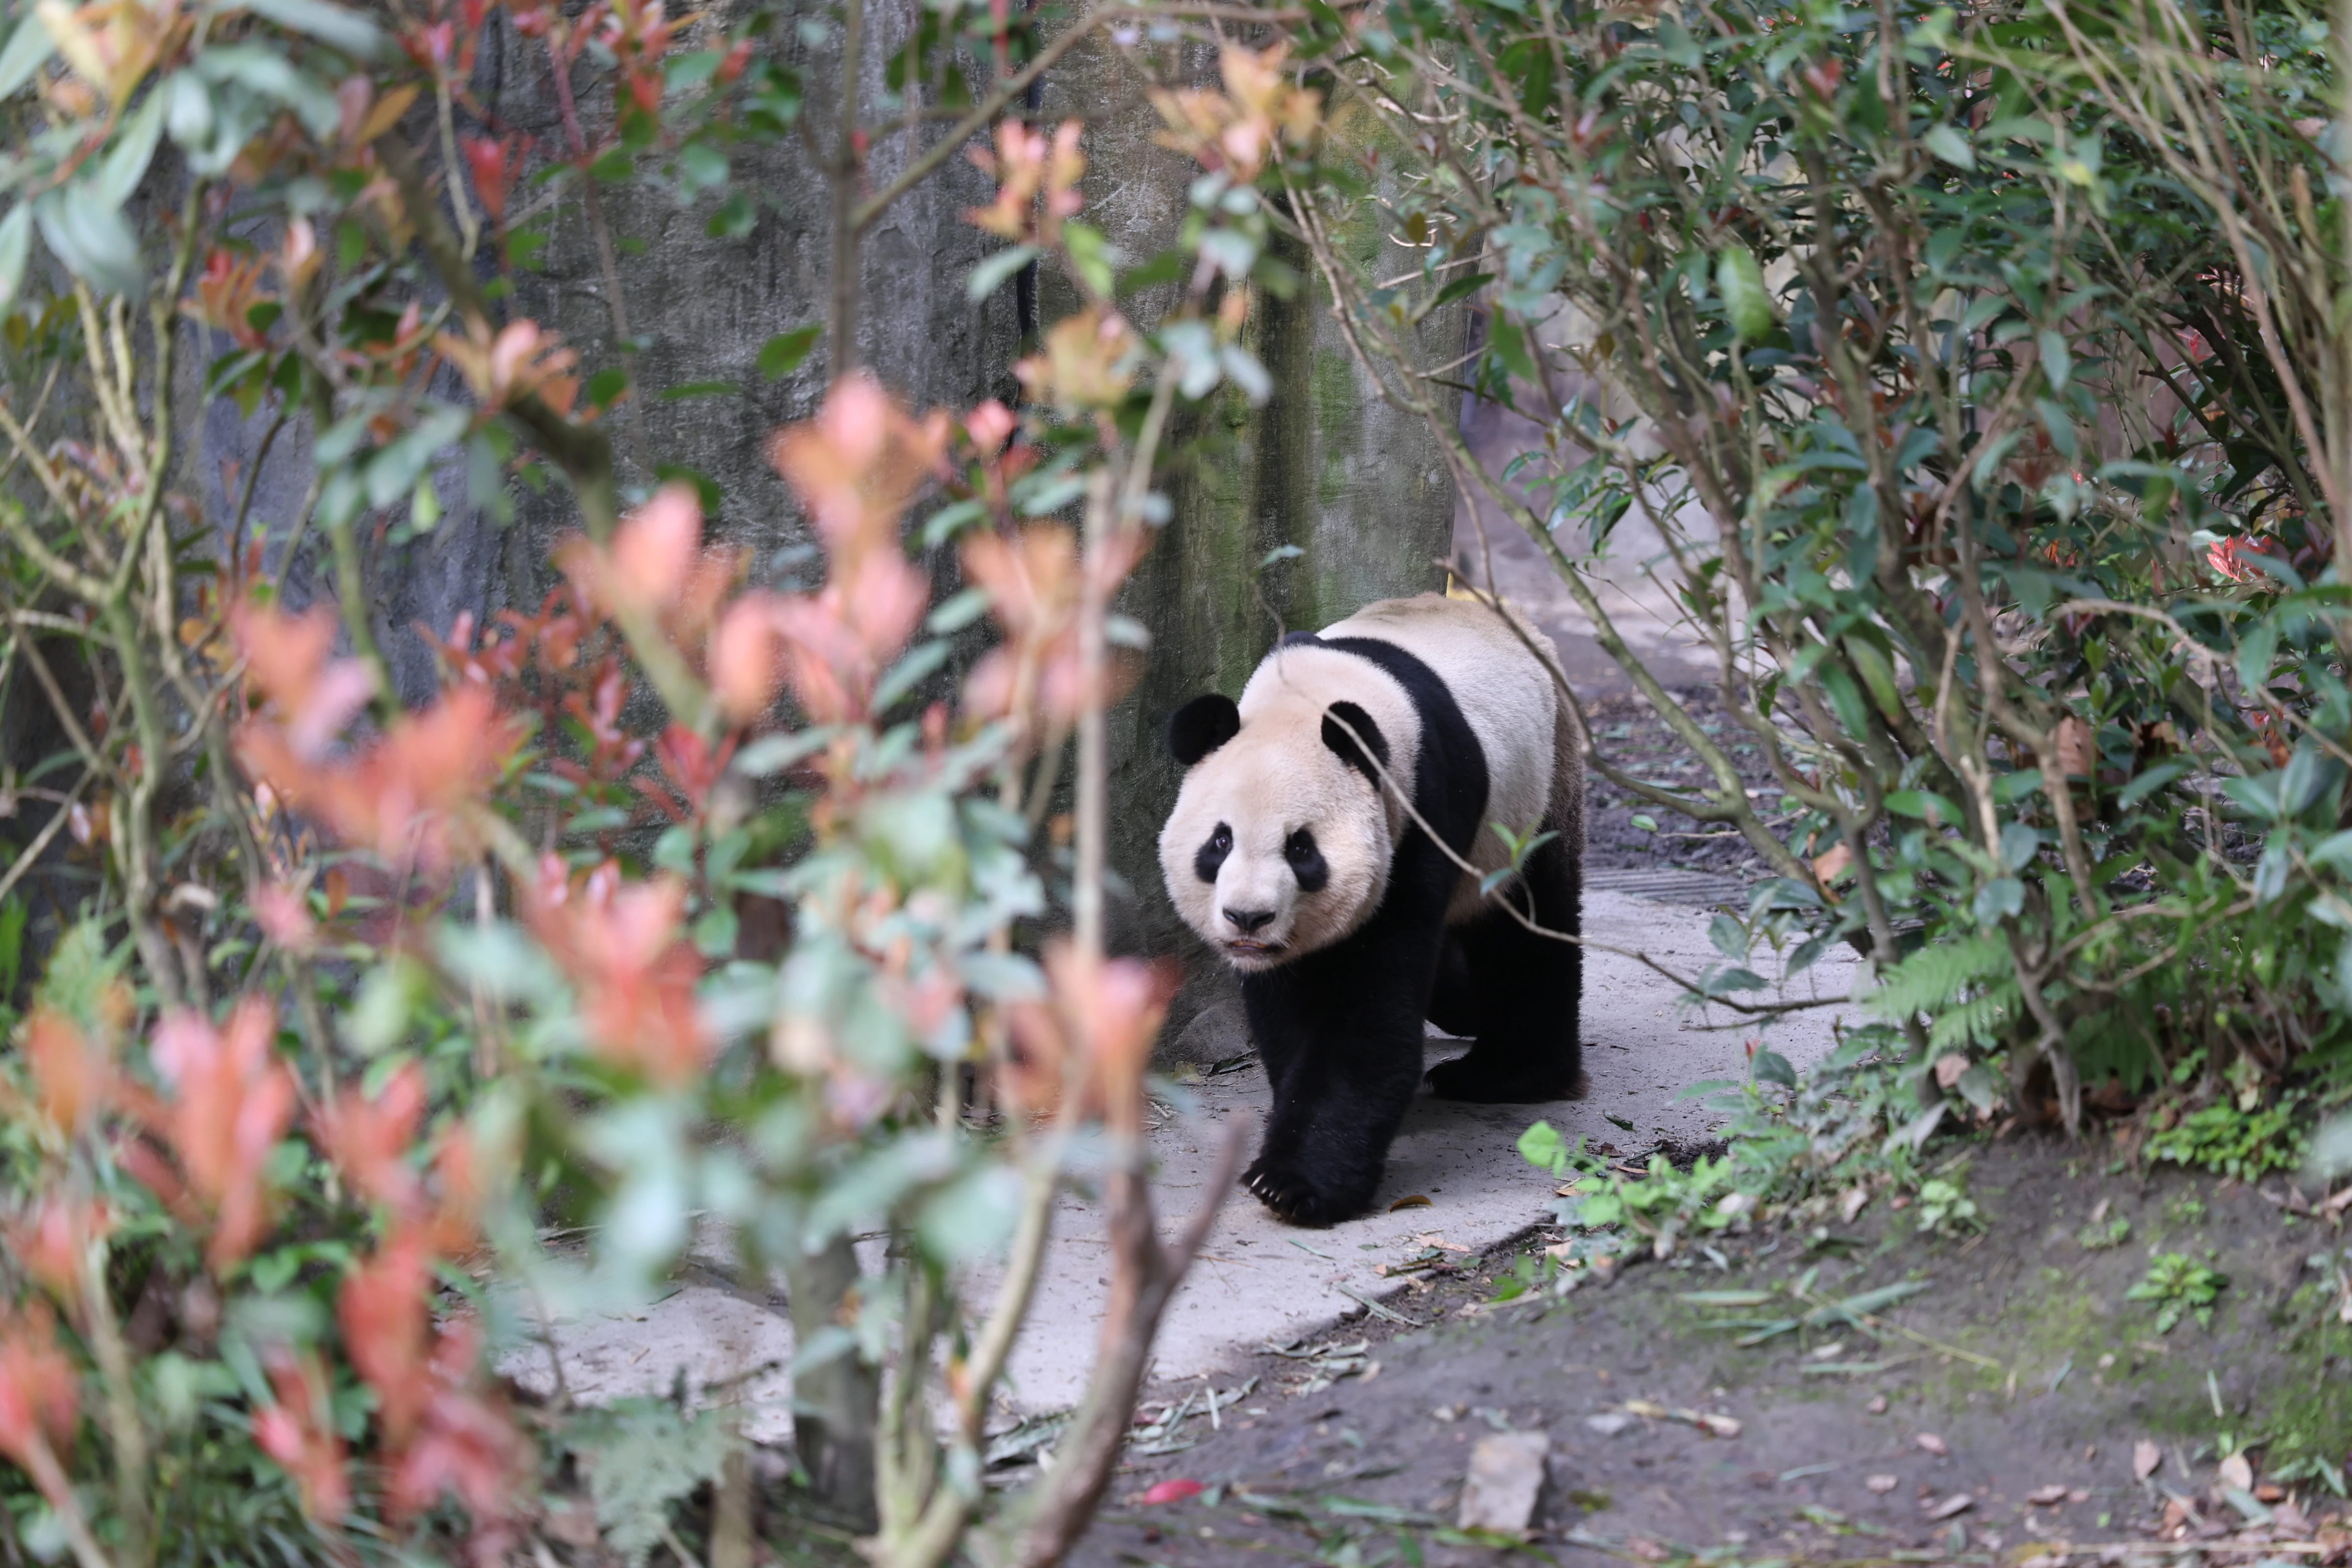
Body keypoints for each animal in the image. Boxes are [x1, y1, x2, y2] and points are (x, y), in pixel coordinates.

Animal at [1158, 592, 1585, 1227]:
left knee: (1530, 929)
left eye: (1301, 849)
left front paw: (1293, 1183)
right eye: (1220, 842)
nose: (1248, 919)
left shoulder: (1416, 823)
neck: (1310, 699)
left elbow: (1369, 1012)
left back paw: (1508, 1074)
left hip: (1538, 793)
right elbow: (1290, 1008)